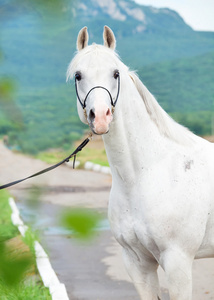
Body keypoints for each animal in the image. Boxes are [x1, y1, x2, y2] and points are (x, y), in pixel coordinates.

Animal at [67, 26, 214, 300]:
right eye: (78, 76)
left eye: (115, 73)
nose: (100, 117)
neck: (146, 175)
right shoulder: (137, 262)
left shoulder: (178, 263)